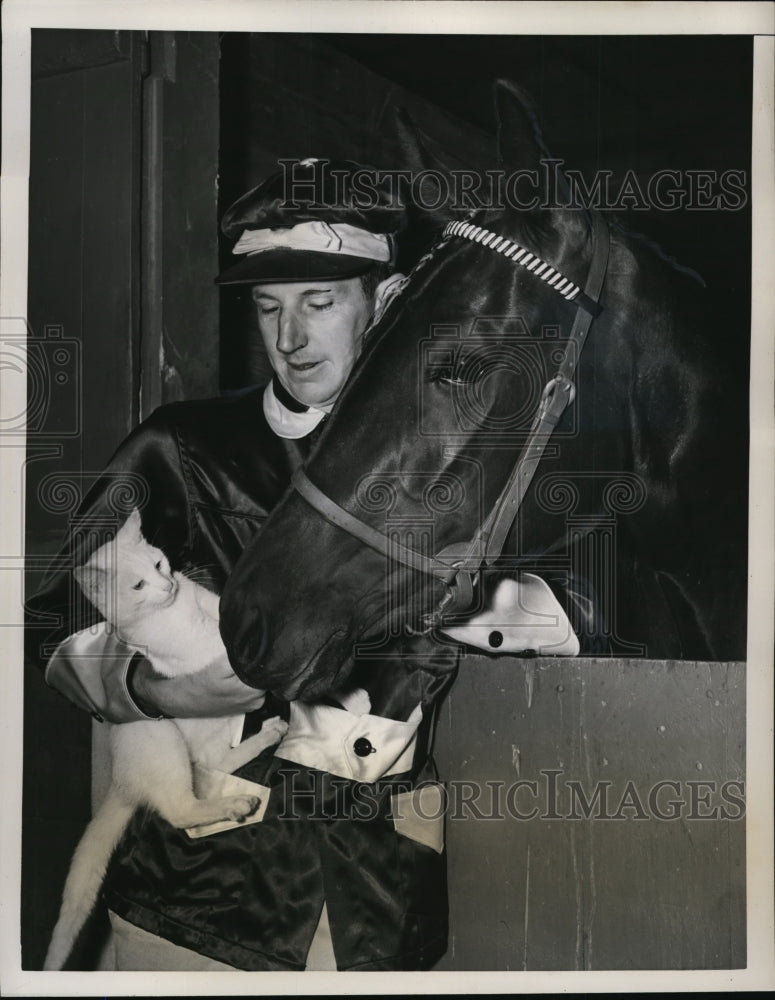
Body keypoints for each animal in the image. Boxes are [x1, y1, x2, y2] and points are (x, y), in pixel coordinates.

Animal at [44, 508, 290, 968]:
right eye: (138, 585)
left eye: (159, 564)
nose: (168, 585)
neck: (179, 610)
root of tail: (121, 781)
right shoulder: (196, 649)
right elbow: (222, 647)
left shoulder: (208, 604)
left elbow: (223, 613)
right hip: (161, 737)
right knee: (181, 807)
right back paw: (238, 801)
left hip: (208, 736)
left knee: (214, 763)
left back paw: (269, 735)